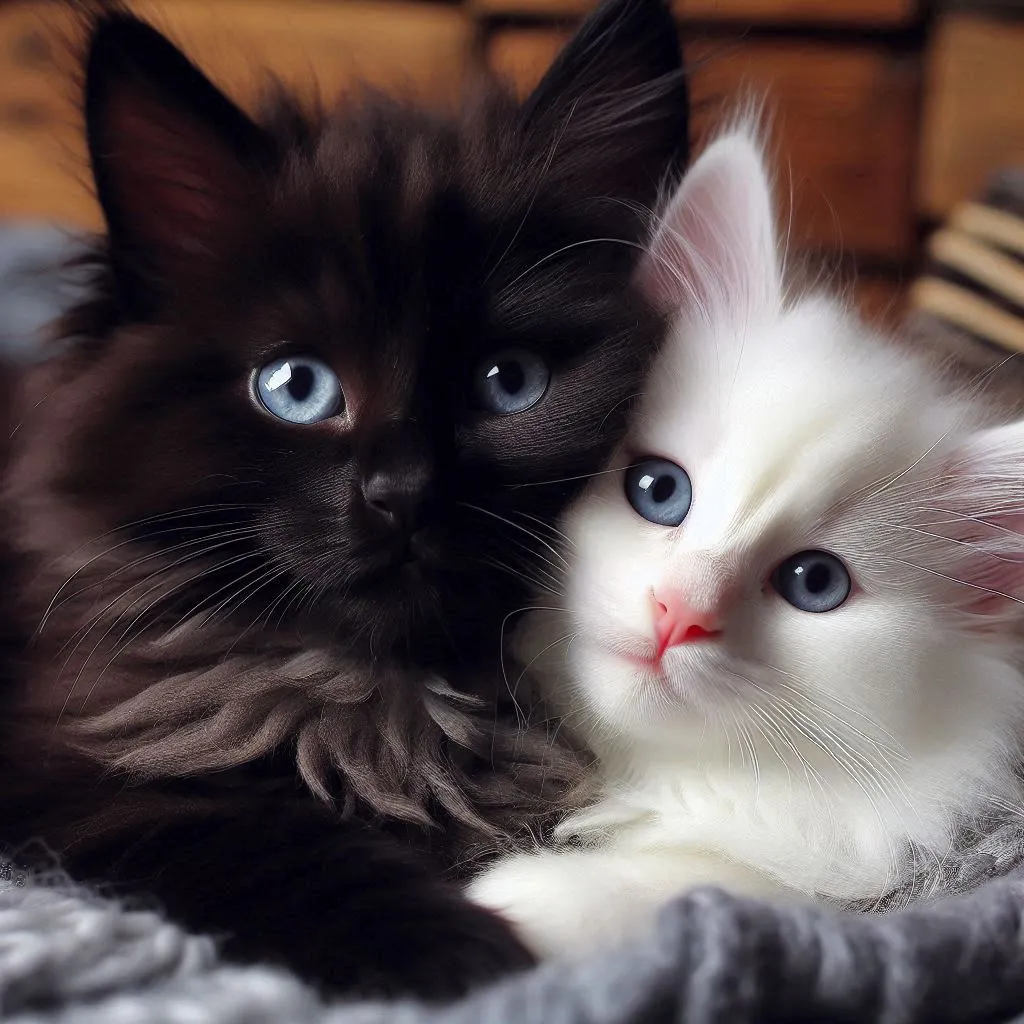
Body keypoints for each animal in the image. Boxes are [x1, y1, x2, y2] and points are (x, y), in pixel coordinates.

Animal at [2, 0, 688, 999]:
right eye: (297, 386)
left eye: (508, 382)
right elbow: (274, 845)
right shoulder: (74, 775)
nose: (402, 492)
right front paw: (471, 958)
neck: (389, 703)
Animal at [468, 121, 1024, 958]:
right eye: (659, 490)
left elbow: (693, 880)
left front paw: (509, 898)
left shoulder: (853, 878)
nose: (678, 613)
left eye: (815, 583)